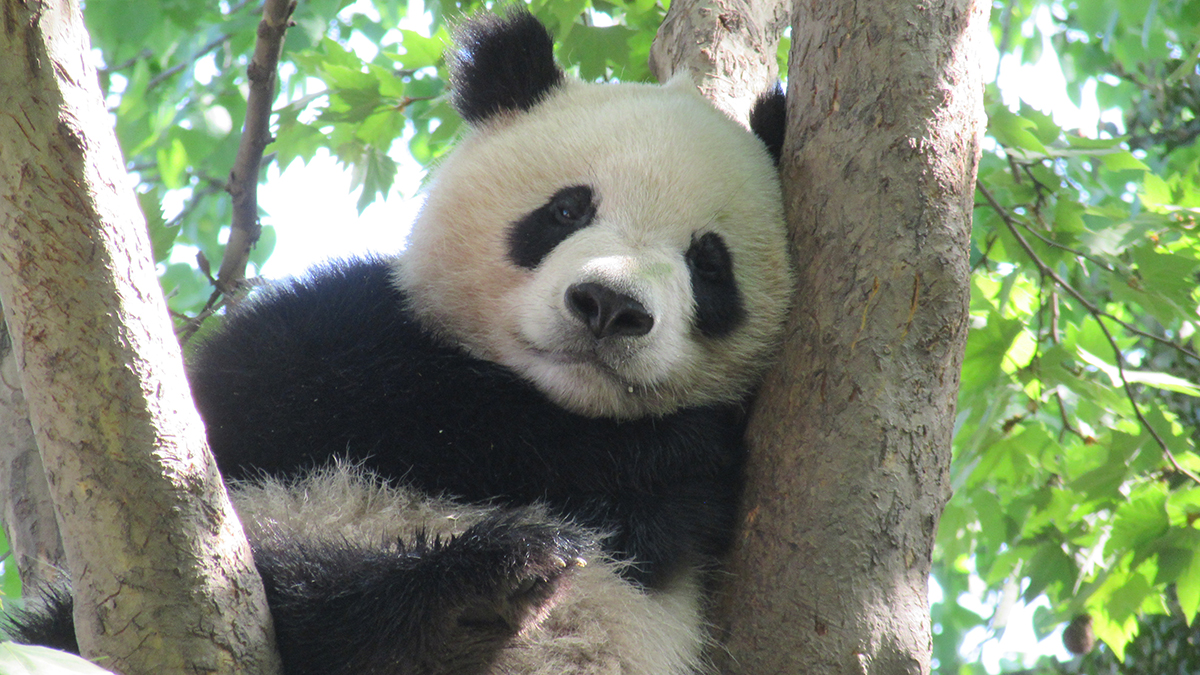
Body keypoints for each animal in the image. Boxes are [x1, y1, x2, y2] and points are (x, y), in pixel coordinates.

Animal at [6, 9, 792, 675]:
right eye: (567, 210)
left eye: (710, 264)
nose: (608, 306)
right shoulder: (319, 341)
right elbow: (339, 387)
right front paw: (675, 450)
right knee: (292, 586)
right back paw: (467, 592)